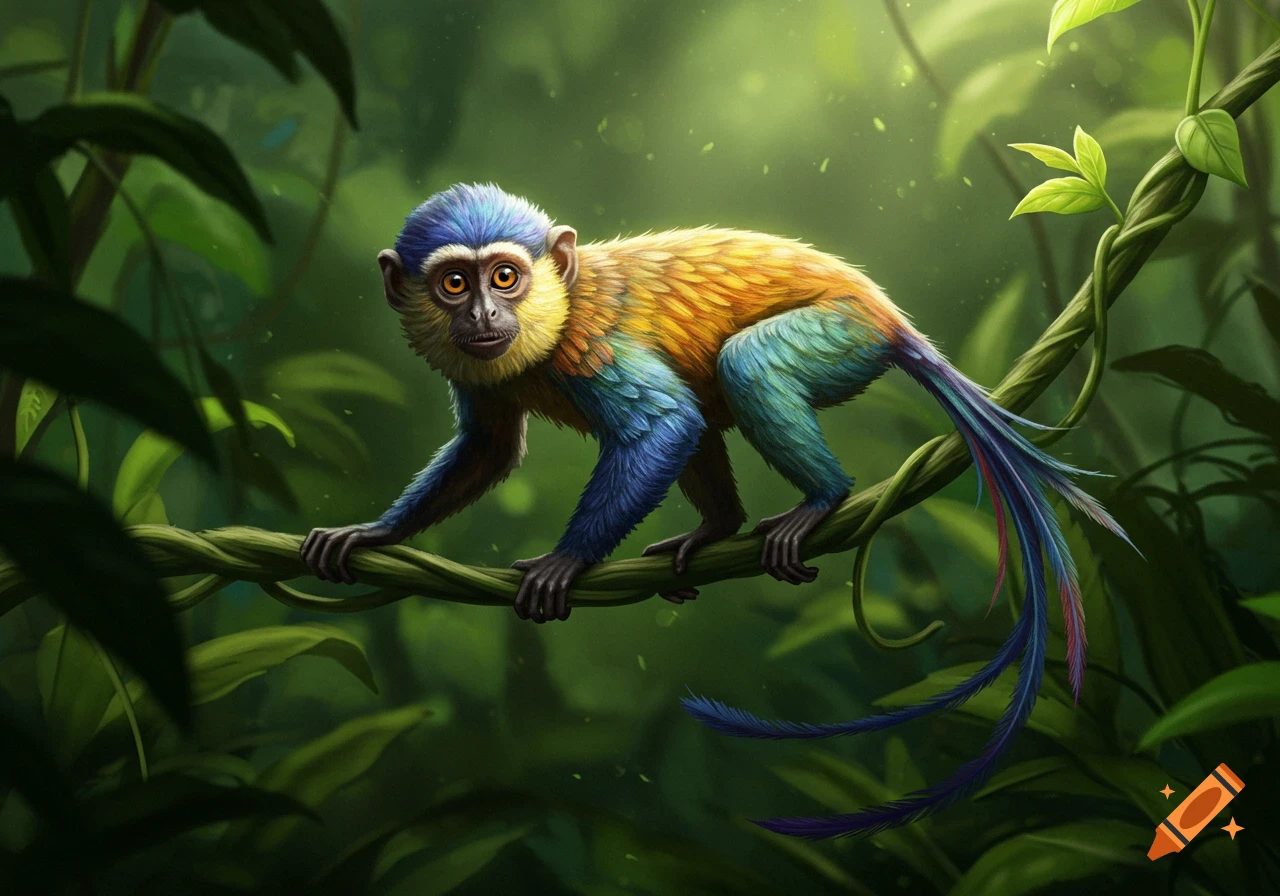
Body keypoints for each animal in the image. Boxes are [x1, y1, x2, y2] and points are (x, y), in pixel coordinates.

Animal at [301, 182, 1131, 838]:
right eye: (454, 284)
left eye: (504, 276)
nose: (481, 316)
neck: (550, 312)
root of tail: (888, 315)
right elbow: (489, 450)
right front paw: (375, 532)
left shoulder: (590, 344)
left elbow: (663, 425)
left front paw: (567, 562)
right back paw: (714, 531)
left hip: (839, 335)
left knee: (742, 367)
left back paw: (819, 502)